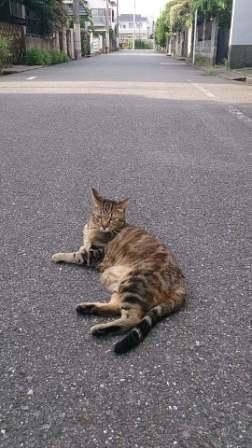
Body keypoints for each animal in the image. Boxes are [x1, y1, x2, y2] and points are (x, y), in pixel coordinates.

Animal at [51, 189, 185, 354]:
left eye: (111, 219)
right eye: (100, 216)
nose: (104, 225)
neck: (93, 227)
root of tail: (180, 281)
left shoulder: (96, 253)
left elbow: (76, 255)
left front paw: (58, 255)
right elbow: (81, 248)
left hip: (134, 281)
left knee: (132, 318)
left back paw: (100, 329)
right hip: (121, 285)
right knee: (116, 307)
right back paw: (88, 309)